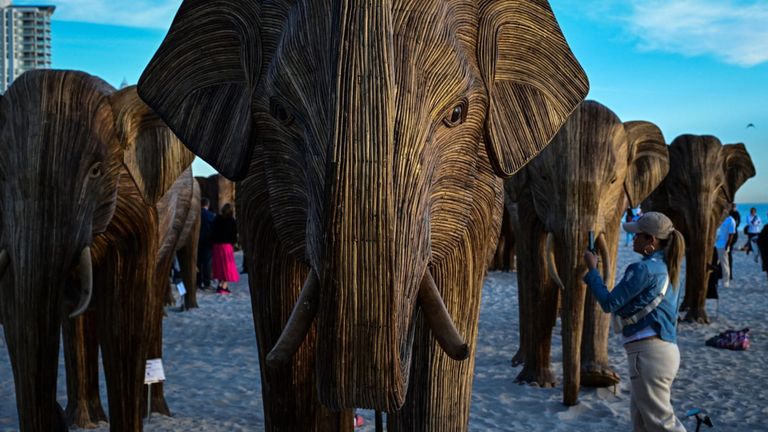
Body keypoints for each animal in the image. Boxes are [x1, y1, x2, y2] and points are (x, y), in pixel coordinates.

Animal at [0, 70, 193, 431]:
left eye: (96, 171)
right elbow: (17, 313)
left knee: (151, 297)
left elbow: (123, 319)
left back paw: (155, 411)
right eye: (1, 176)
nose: (54, 413)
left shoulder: (136, 210)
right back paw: (86, 420)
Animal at [509, 100, 670, 405]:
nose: (569, 401)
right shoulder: (526, 194)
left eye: (614, 180)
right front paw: (537, 382)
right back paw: (520, 362)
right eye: (544, 177)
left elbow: (608, 269)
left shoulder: (618, 203)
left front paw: (598, 379)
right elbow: (539, 272)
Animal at [643, 135, 755, 323]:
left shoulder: (716, 207)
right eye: (679, 185)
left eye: (718, 185)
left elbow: (706, 243)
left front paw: (699, 319)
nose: (712, 267)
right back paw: (684, 308)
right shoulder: (661, 201)